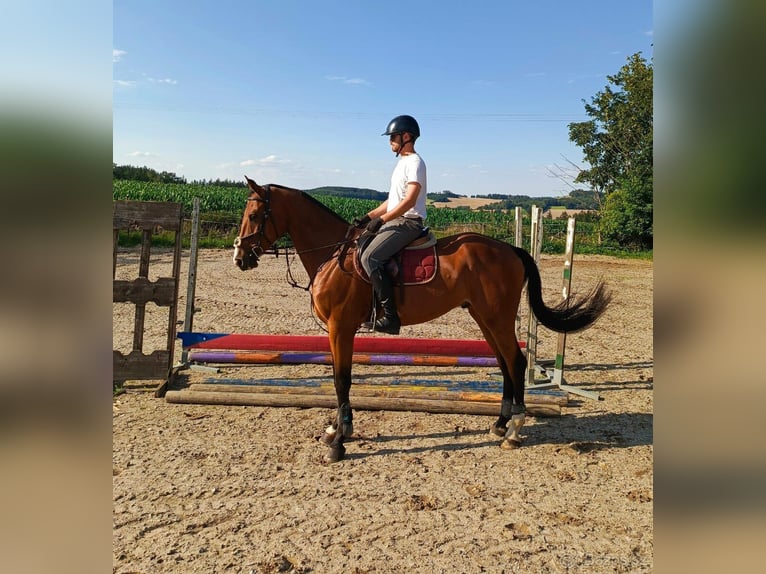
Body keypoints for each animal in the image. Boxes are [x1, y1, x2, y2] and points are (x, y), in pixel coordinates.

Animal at [232, 179, 612, 464]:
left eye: (255, 214)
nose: (239, 257)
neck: (333, 254)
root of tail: (510, 250)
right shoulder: (336, 331)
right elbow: (339, 381)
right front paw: (338, 430)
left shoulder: (341, 328)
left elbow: (342, 380)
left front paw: (338, 442)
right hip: (484, 317)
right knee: (505, 364)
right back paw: (500, 425)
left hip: (497, 318)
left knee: (516, 363)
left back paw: (515, 430)